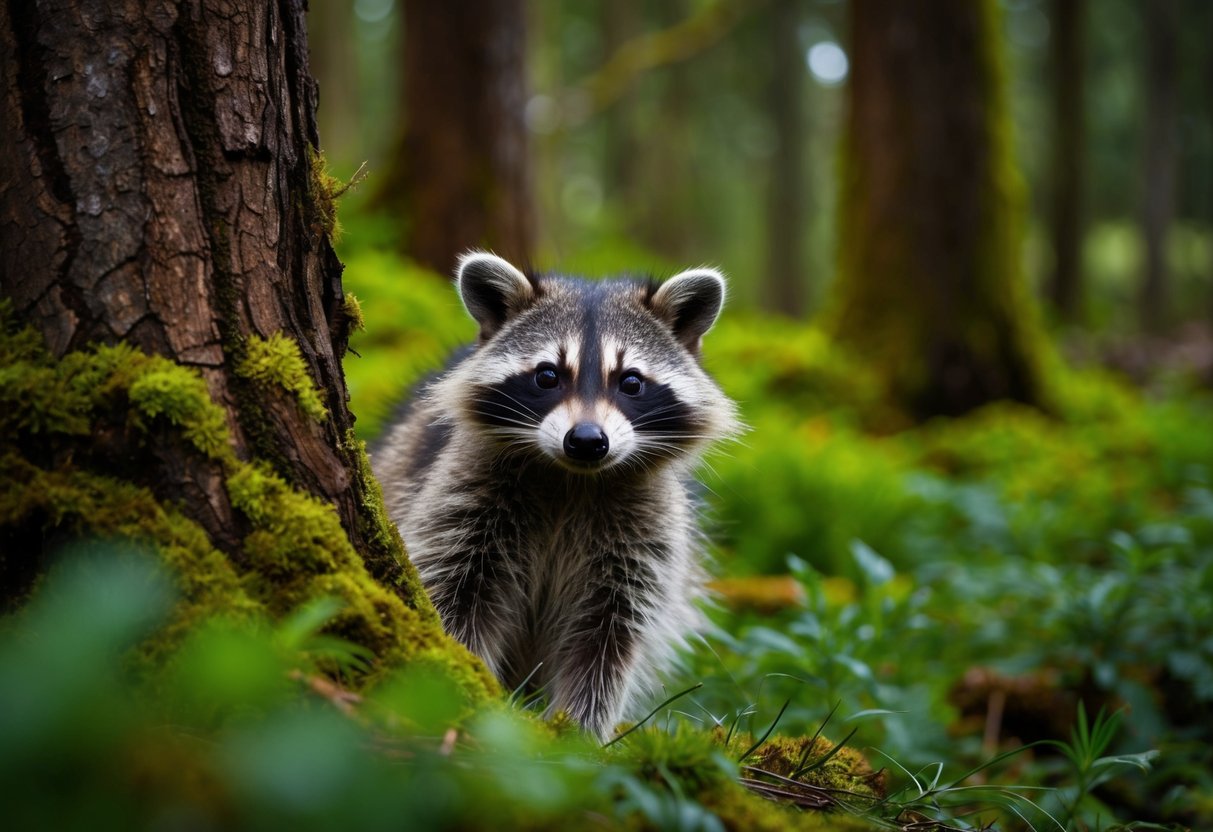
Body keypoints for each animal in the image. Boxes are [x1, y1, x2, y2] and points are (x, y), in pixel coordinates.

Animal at [373, 251, 740, 738]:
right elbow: (455, 594)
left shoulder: (645, 539)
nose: (586, 440)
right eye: (547, 376)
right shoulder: (460, 500)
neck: (573, 480)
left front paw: (578, 732)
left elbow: (607, 641)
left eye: (631, 382)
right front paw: (462, 688)